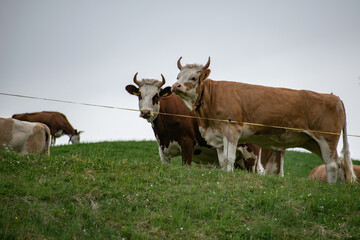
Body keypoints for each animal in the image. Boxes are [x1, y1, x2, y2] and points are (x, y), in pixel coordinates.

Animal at [125, 72, 282, 175]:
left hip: (251, 154)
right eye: (139, 95)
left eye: (156, 95)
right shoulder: (163, 151)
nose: (146, 112)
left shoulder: (187, 143)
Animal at [172, 57, 358, 184]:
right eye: (178, 76)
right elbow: (222, 161)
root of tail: (334, 97)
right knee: (338, 164)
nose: (175, 86)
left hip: (327, 138)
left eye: (193, 78)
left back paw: (331, 186)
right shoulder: (217, 136)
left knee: (332, 165)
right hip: (315, 142)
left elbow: (229, 159)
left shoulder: (231, 130)